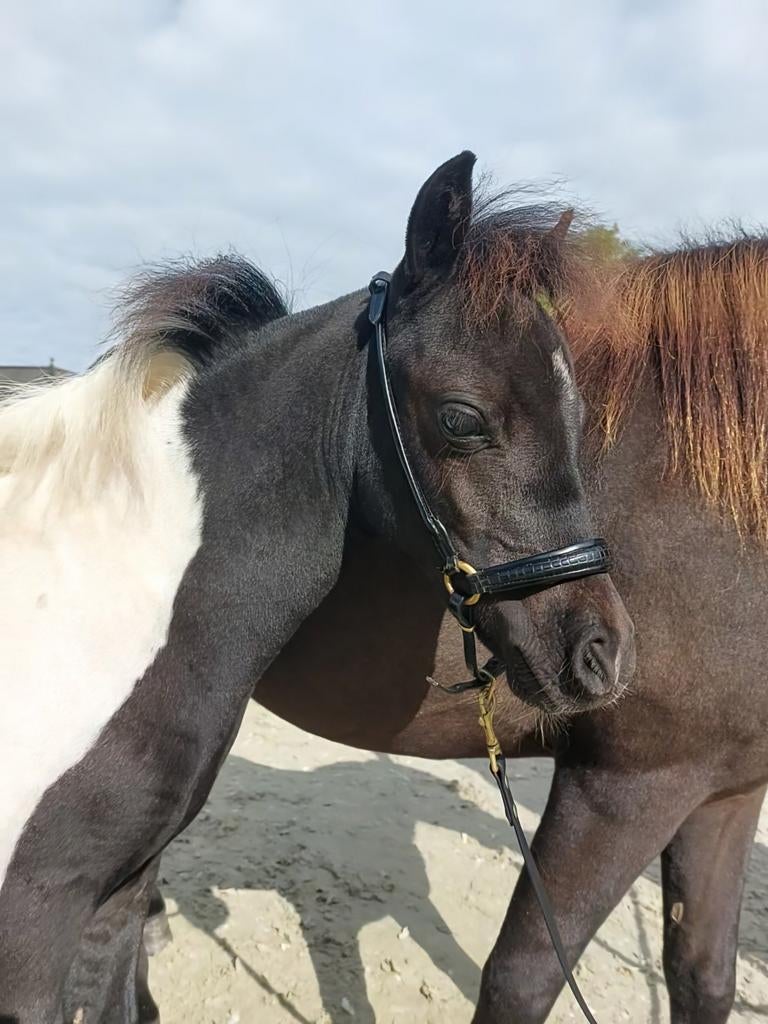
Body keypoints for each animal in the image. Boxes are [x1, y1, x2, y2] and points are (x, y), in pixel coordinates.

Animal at [142, 231, 768, 1022]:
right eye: (462, 421)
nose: (604, 656)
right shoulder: (627, 786)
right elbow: (521, 977)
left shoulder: (726, 792)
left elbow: (703, 975)